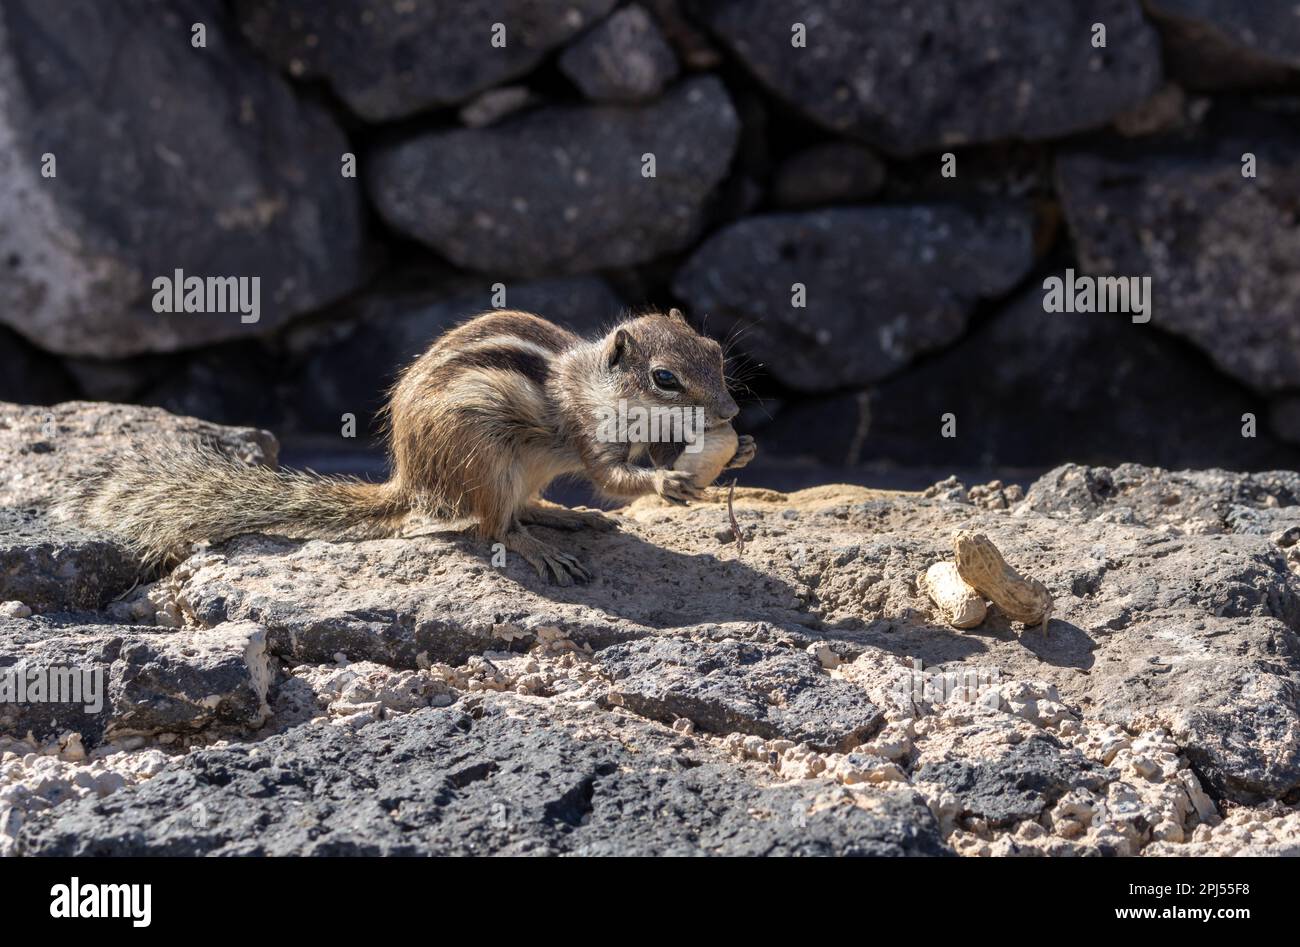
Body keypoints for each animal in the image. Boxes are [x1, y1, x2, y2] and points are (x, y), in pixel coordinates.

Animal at [71, 306, 759, 585]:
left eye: (717, 353)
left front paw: (744, 448)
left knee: (519, 507)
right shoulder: (586, 431)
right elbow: (615, 478)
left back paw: (565, 516)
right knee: (492, 525)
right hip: (484, 455)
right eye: (665, 378)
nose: (730, 412)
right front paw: (667, 482)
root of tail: (410, 477)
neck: (592, 382)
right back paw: (537, 544)